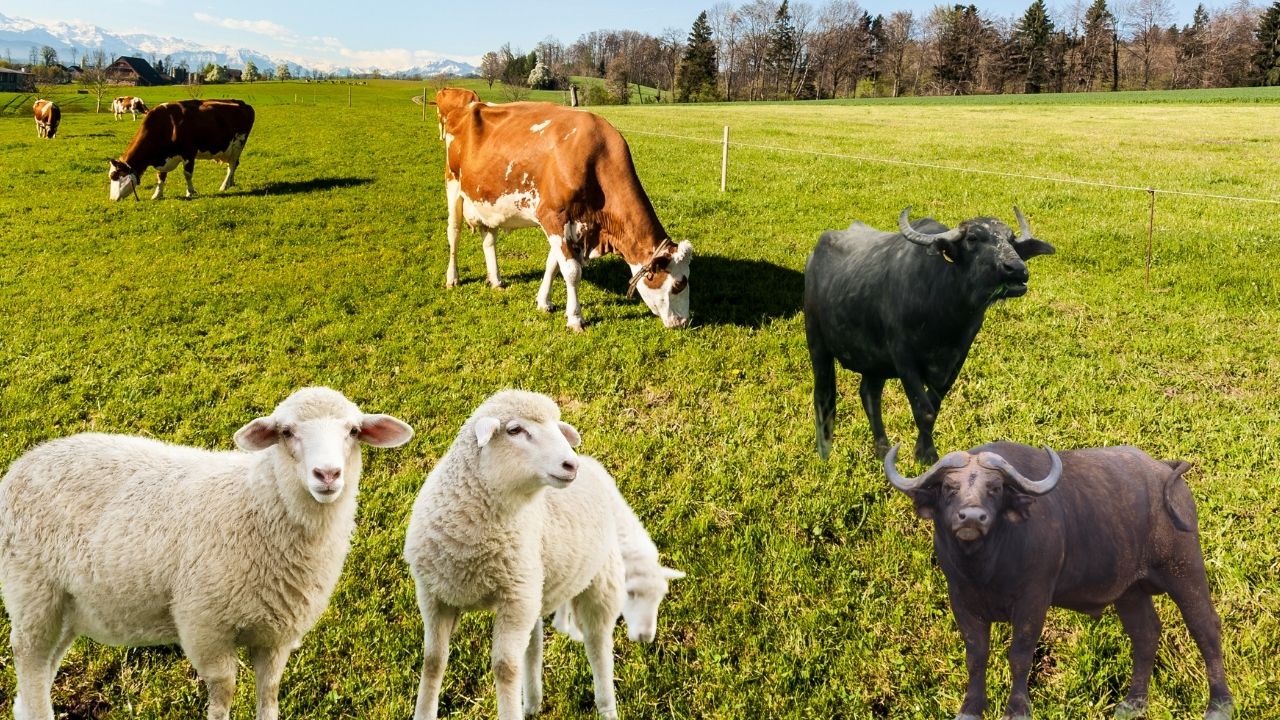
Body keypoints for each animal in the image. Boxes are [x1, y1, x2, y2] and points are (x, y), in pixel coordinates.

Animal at [0, 387, 414, 720]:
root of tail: (25, 462)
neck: (258, 504)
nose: (327, 475)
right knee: (29, 665)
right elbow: (223, 693)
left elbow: (269, 694)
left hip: (66, 607)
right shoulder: (204, 627)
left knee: (38, 676)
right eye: (286, 432)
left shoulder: (277, 636)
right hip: (31, 593)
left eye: (353, 431)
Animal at [404, 389, 625, 720]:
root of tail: (594, 464)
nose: (570, 464)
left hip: (596, 580)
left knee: (598, 644)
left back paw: (606, 707)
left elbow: (505, 668)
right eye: (515, 430)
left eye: (558, 428)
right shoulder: (433, 594)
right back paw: (531, 704)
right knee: (533, 644)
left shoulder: (514, 598)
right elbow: (433, 661)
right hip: (533, 587)